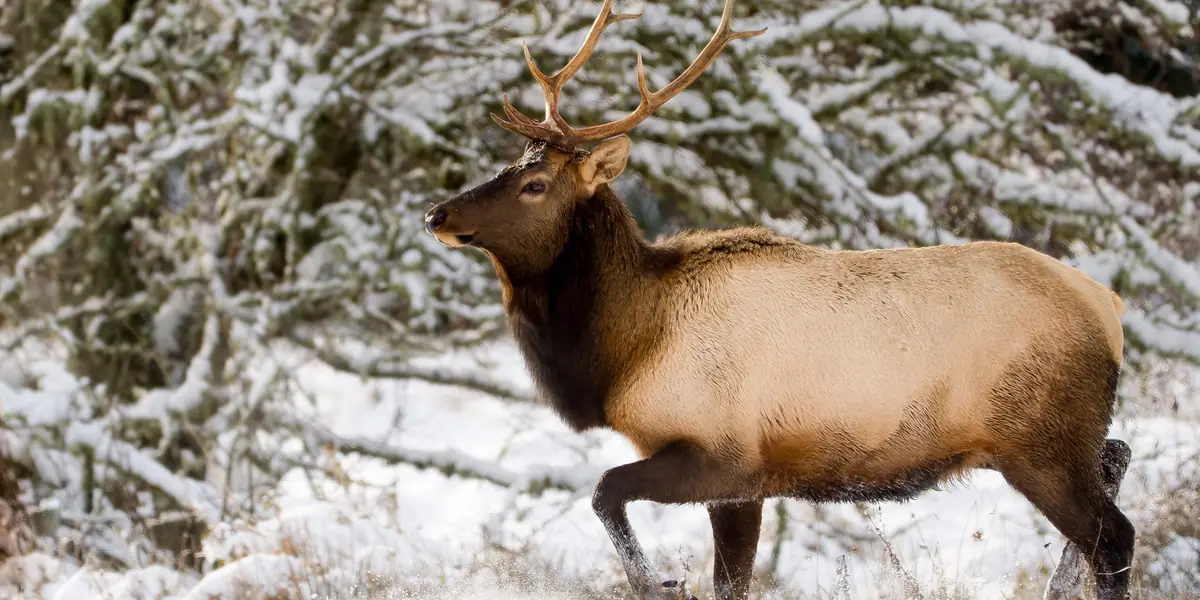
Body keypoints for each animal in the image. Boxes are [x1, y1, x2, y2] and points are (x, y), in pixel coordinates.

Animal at [422, 1, 1136, 599]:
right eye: (510, 164)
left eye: (535, 184)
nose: (437, 213)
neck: (628, 349)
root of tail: (1110, 307)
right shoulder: (746, 483)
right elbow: (729, 581)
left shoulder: (726, 456)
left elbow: (605, 493)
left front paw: (659, 583)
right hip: (1068, 435)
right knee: (1114, 473)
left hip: (1040, 438)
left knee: (1113, 536)